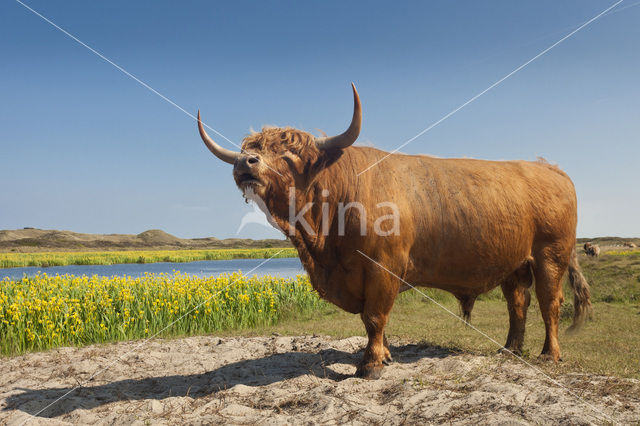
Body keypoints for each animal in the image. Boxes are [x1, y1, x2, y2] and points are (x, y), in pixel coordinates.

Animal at [198, 84, 592, 380]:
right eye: (251, 148)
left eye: (290, 154)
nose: (245, 162)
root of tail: (550, 168)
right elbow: (373, 319)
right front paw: (385, 355)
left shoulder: (382, 267)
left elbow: (375, 316)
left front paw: (371, 365)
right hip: (514, 264)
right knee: (518, 304)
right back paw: (510, 350)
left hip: (550, 256)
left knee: (550, 303)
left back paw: (549, 354)